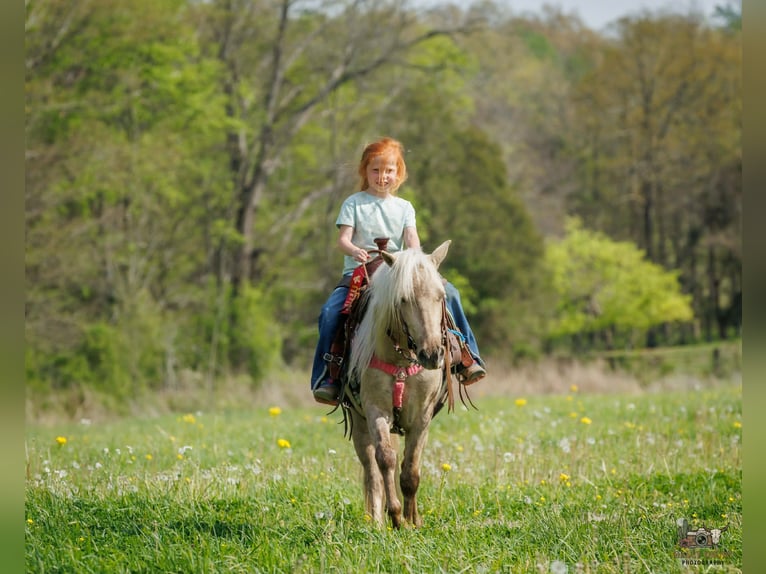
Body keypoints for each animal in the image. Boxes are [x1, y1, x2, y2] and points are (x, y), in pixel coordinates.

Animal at [346, 240, 454, 528]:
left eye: (441, 296)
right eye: (403, 300)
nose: (432, 355)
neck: (401, 361)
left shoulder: (422, 417)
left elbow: (411, 470)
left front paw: (412, 520)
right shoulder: (375, 410)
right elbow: (385, 460)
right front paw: (394, 516)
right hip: (359, 422)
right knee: (372, 470)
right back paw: (376, 519)